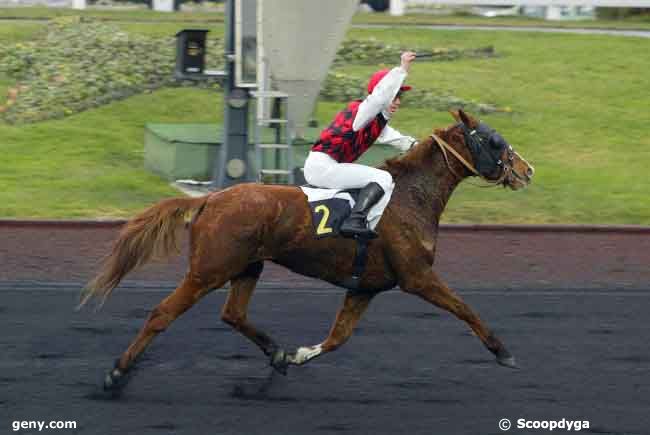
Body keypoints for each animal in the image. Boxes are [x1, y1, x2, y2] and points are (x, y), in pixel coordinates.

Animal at [79, 109, 532, 392]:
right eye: (495, 140)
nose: (527, 170)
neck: (408, 196)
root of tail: (211, 199)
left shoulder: (364, 287)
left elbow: (338, 337)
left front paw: (296, 355)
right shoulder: (417, 276)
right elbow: (465, 309)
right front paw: (504, 352)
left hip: (248, 266)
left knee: (233, 314)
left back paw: (277, 352)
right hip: (208, 269)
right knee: (161, 314)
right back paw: (117, 374)